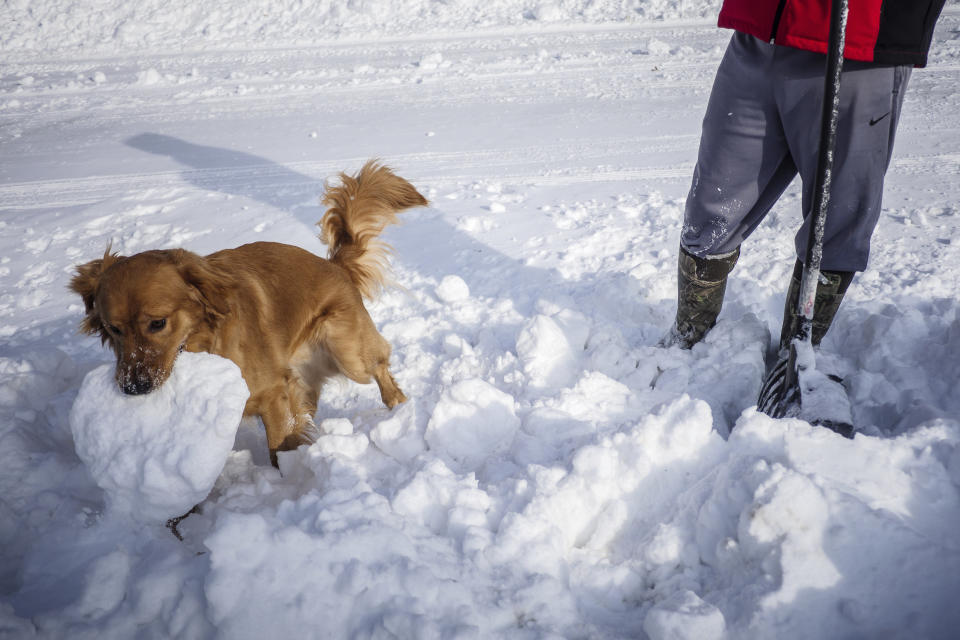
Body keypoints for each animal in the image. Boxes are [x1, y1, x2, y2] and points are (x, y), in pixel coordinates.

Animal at [69, 161, 426, 464]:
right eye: (113, 329)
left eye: (158, 323)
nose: (132, 388)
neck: (207, 342)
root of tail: (334, 265)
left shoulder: (273, 394)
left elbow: (279, 449)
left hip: (347, 351)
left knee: (379, 366)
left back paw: (398, 408)